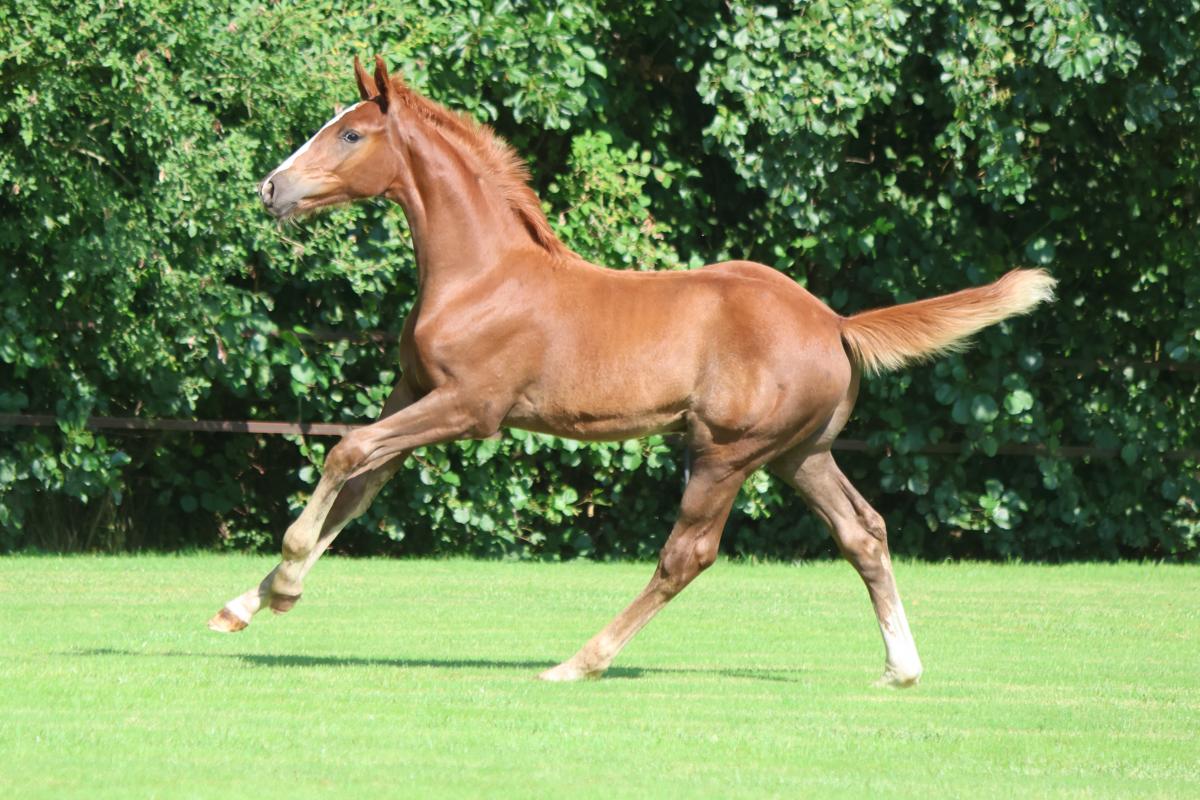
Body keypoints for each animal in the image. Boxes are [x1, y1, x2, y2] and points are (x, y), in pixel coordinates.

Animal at [208, 56, 1055, 687]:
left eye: (350, 133)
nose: (271, 188)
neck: (482, 276)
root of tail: (834, 323)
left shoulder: (469, 408)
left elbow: (345, 453)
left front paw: (284, 584)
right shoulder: (414, 393)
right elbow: (359, 488)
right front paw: (244, 605)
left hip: (726, 453)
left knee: (689, 555)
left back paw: (578, 662)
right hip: (800, 454)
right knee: (865, 533)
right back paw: (902, 668)